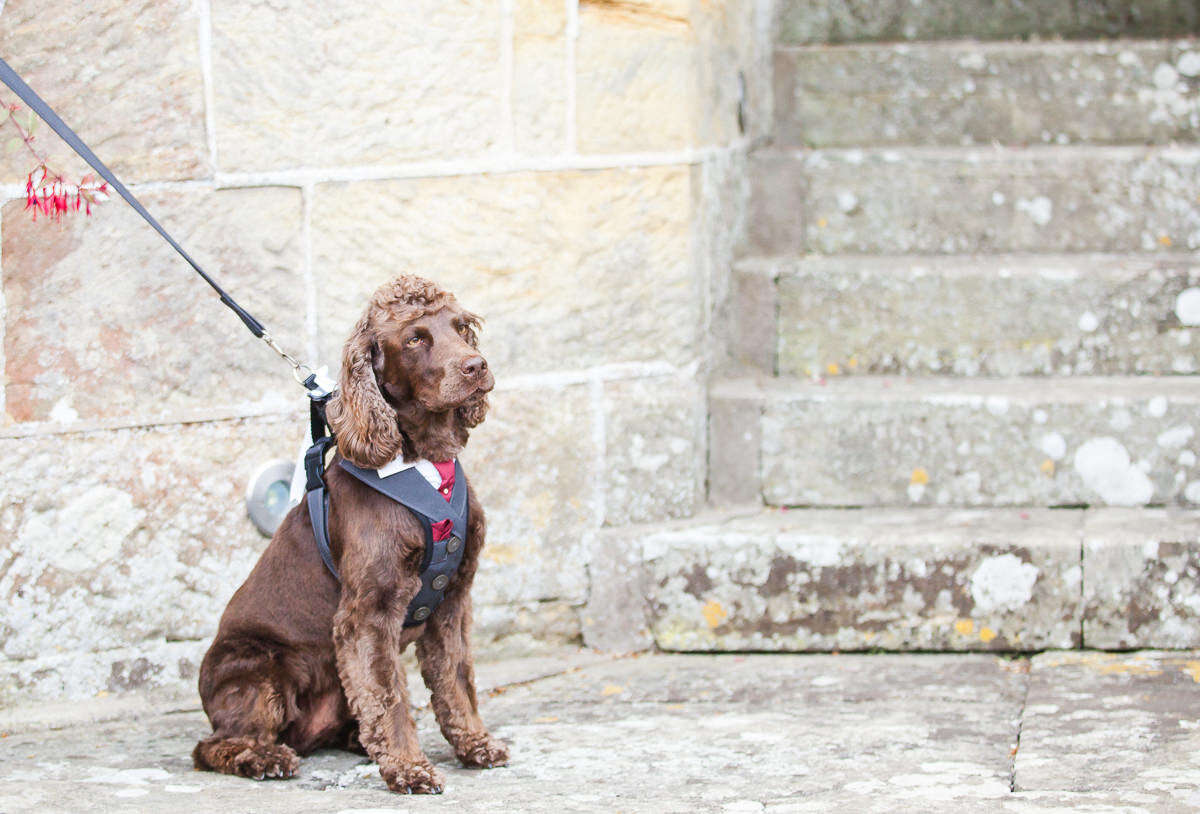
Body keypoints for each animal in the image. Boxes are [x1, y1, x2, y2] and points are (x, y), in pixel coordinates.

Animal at [190, 277, 506, 792]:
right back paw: (264, 758)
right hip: (259, 670)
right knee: (215, 744)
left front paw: (475, 743)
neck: (425, 460)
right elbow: (388, 695)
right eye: (415, 339)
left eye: (461, 328)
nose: (476, 366)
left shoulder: (453, 603)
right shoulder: (369, 612)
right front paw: (410, 768)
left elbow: (457, 680)